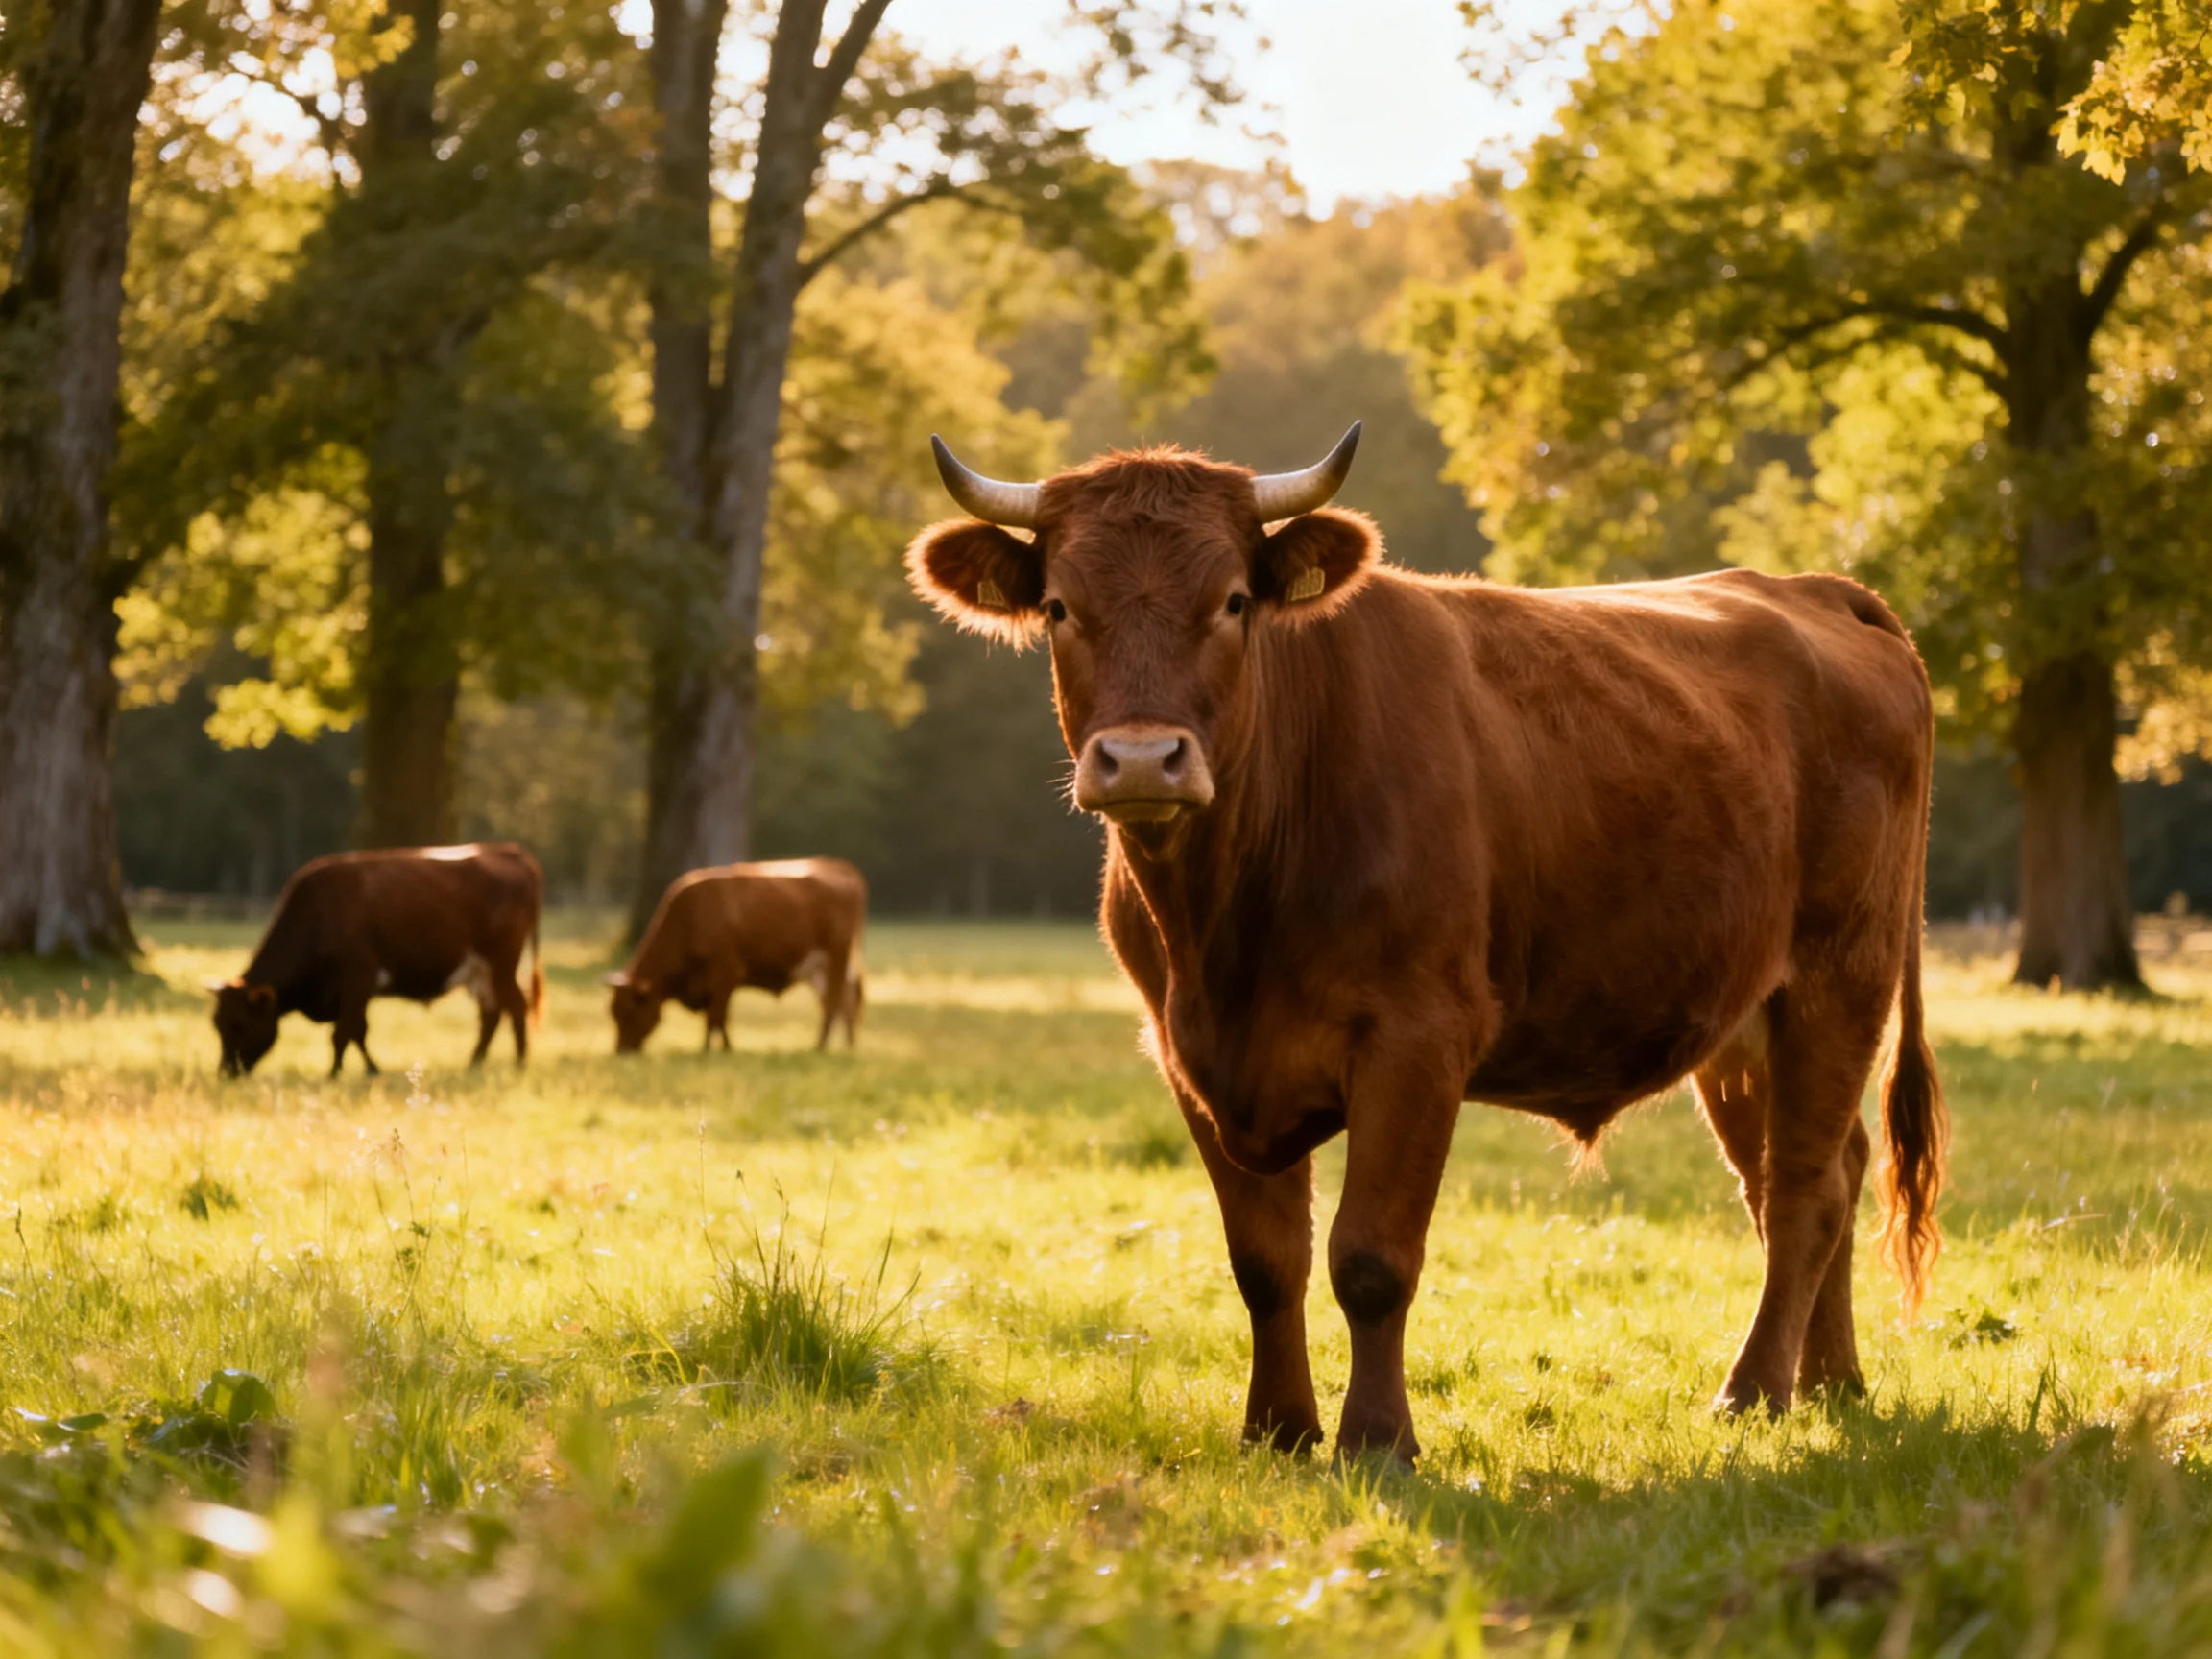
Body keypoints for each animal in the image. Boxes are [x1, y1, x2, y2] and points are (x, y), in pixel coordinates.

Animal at [210, 843, 543, 1079]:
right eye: (217, 1024)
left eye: (239, 1023)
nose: (225, 1073)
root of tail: (506, 851)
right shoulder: (354, 991)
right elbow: (358, 1031)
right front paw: (371, 1069)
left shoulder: (358, 978)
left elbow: (343, 1032)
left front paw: (334, 1074)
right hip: (479, 971)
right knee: (491, 1014)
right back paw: (474, 1063)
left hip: (501, 964)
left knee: (516, 1006)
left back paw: (520, 1062)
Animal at [607, 858, 866, 1054]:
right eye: (613, 1012)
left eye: (630, 1011)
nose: (622, 1051)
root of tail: (837, 865)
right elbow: (717, 1019)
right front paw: (717, 1049)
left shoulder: (726, 973)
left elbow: (716, 1017)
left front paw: (713, 1051)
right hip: (819, 968)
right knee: (844, 1001)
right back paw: (848, 1045)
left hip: (836, 958)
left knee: (834, 1002)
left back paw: (820, 1047)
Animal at [905, 423, 1946, 1464]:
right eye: (1058, 606)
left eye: (1234, 601)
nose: (1139, 761)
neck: (1227, 927)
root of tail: (1813, 589)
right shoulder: (1187, 1054)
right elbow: (1264, 1261)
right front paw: (1277, 1430)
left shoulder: (1418, 1035)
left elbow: (1370, 1256)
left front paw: (1377, 1441)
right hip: (1739, 1022)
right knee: (1818, 1170)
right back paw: (1832, 1379)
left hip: (1839, 975)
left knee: (1805, 1187)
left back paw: (1756, 1388)